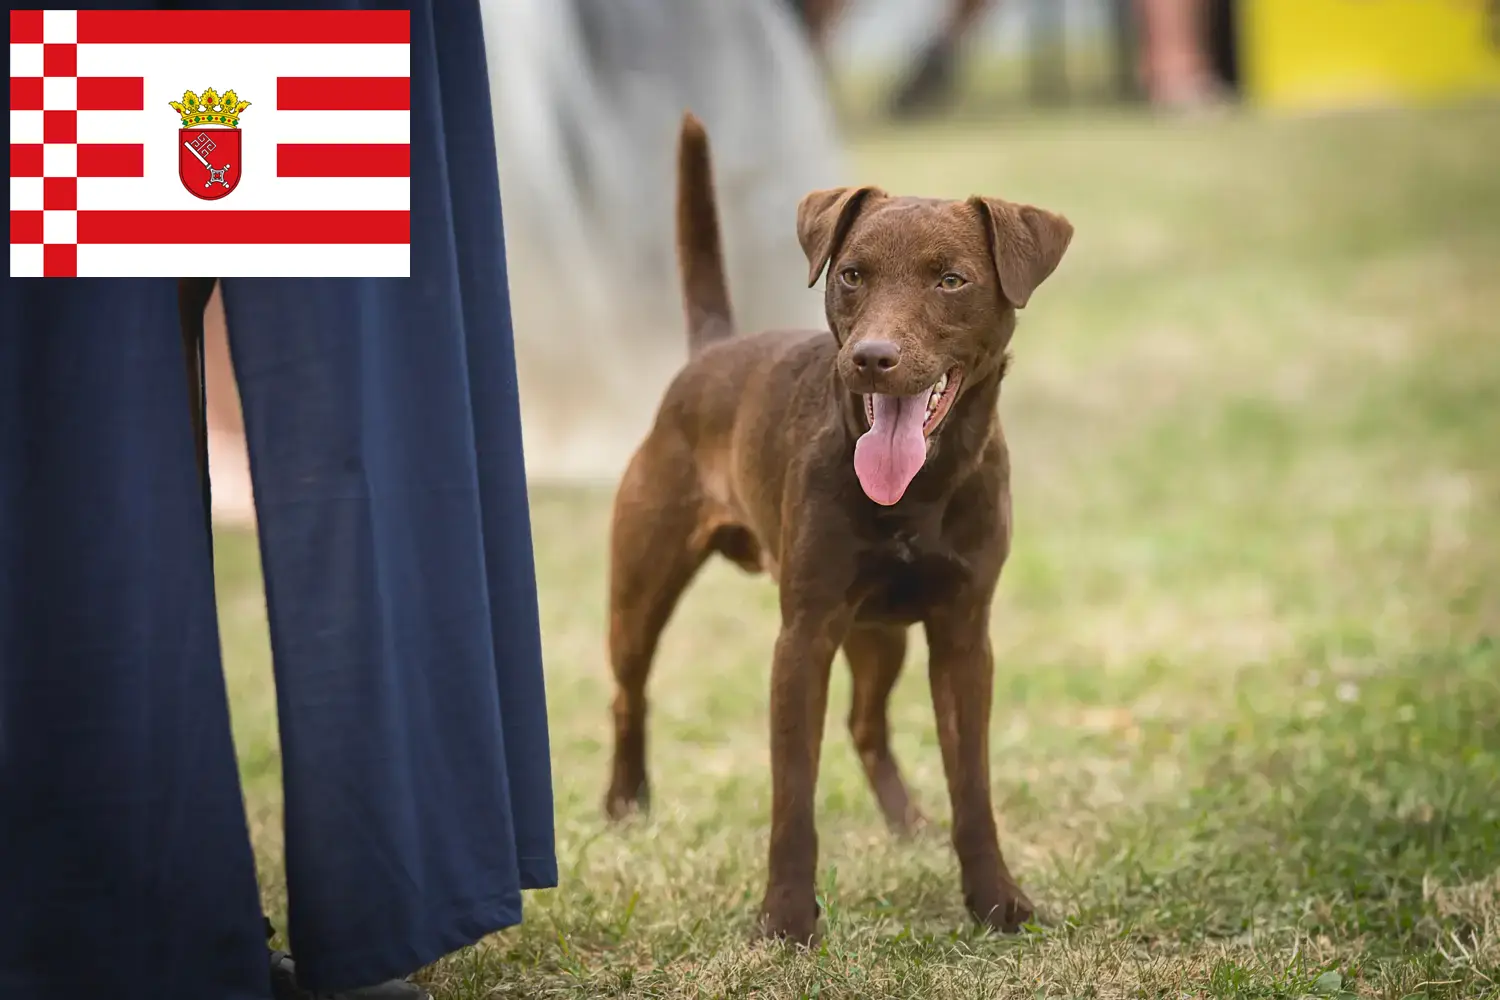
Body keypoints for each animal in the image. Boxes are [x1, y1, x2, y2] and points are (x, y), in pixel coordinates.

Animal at [603, 113, 1074, 941]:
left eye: (951, 280)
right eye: (851, 274)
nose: (872, 358)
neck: (918, 489)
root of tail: (712, 349)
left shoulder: (963, 636)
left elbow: (973, 785)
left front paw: (995, 900)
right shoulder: (805, 635)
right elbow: (793, 793)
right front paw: (787, 918)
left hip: (880, 631)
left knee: (865, 723)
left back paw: (907, 824)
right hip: (642, 583)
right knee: (630, 693)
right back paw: (626, 803)